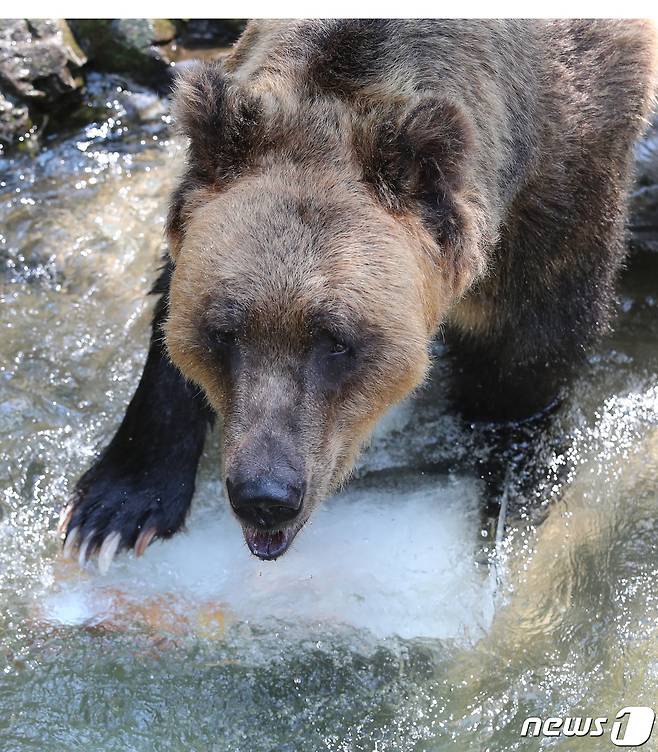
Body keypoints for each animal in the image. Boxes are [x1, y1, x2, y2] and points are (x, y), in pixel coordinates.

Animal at [60, 20, 656, 568]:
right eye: (223, 332)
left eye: (337, 341)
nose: (265, 496)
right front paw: (114, 509)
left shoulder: (561, 188)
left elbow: (527, 356)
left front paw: (505, 480)